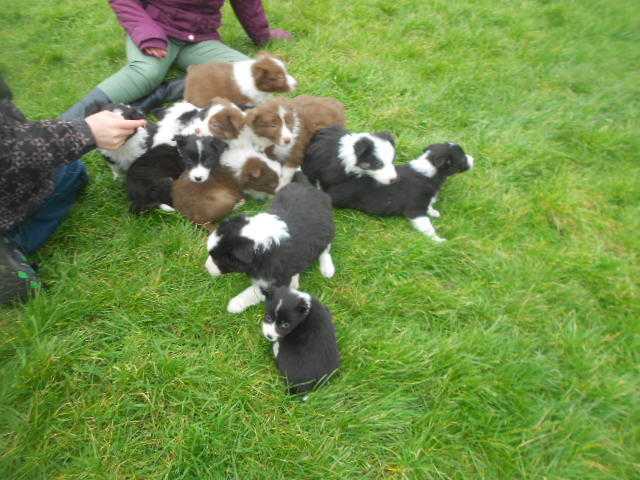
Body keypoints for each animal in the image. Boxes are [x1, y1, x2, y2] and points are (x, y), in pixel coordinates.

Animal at [205, 171, 338, 314]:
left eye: (219, 258)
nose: (206, 268)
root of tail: (309, 186)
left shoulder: (275, 280)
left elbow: (254, 291)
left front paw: (234, 304)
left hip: (327, 230)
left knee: (325, 249)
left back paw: (327, 269)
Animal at [302, 130, 472, 240]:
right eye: (463, 159)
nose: (473, 159)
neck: (428, 171)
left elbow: (429, 206)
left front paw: (434, 211)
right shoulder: (415, 209)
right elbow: (427, 226)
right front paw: (438, 241)